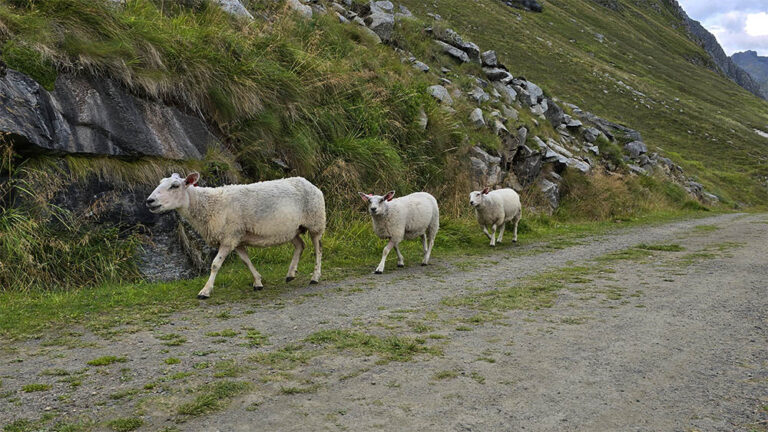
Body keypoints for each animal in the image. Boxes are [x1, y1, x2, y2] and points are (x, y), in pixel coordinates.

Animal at [146, 174, 326, 298]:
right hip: (291, 228)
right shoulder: (236, 239)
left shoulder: (228, 238)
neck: (208, 205)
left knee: (318, 249)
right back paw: (290, 274)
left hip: (315, 222)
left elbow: (215, 265)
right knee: (300, 245)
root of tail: (309, 183)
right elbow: (246, 261)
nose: (149, 201)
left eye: (175, 186)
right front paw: (258, 282)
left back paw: (315, 277)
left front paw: (205, 291)